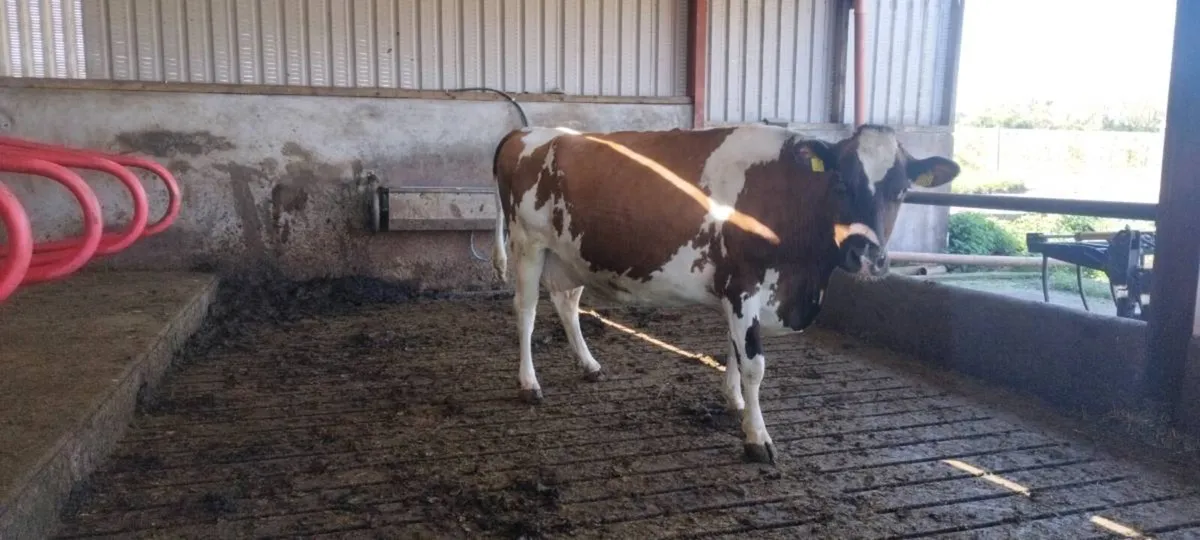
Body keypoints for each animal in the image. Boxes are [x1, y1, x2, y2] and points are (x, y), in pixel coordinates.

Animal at [490, 123, 959, 464]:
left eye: (902, 190)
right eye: (841, 181)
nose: (866, 255)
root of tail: (528, 131)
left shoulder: (742, 294)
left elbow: (733, 350)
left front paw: (734, 401)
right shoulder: (744, 285)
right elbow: (754, 365)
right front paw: (757, 437)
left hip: (571, 254)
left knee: (567, 303)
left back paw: (588, 364)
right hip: (527, 244)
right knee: (525, 311)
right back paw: (529, 383)